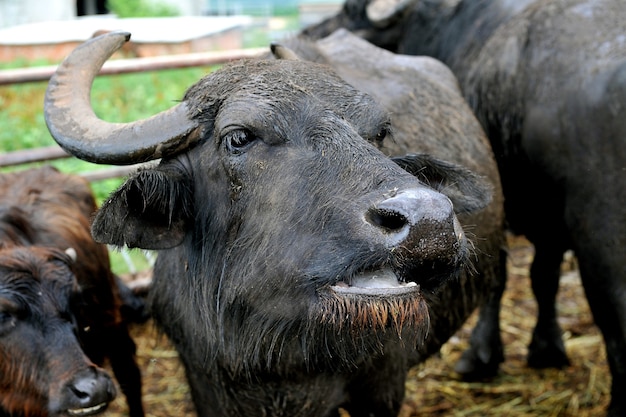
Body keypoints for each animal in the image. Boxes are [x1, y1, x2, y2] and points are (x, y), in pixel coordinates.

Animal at [302, 1, 624, 414]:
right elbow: (543, 275)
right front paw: (546, 348)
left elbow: (498, 276)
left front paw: (480, 356)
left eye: (348, 14)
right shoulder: (546, 218)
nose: (311, 32)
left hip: (601, 237)